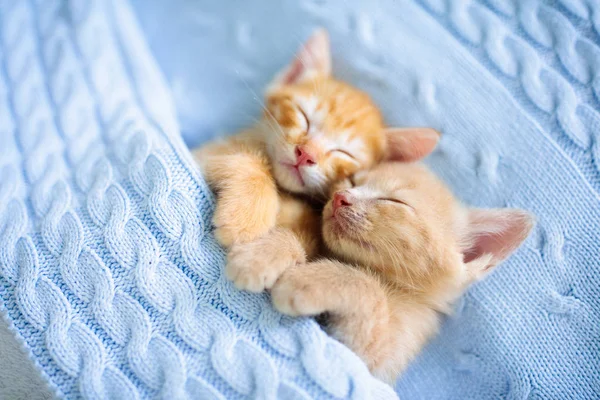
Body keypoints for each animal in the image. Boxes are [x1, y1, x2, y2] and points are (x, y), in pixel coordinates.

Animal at [195, 28, 438, 290]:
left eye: (343, 152)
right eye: (304, 116)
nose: (306, 155)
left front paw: (263, 254)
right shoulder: (205, 152)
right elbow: (248, 160)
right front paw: (246, 216)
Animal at [270, 161, 532, 382]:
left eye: (395, 201)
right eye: (353, 181)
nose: (340, 197)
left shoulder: (373, 359)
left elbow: (368, 289)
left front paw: (308, 281)